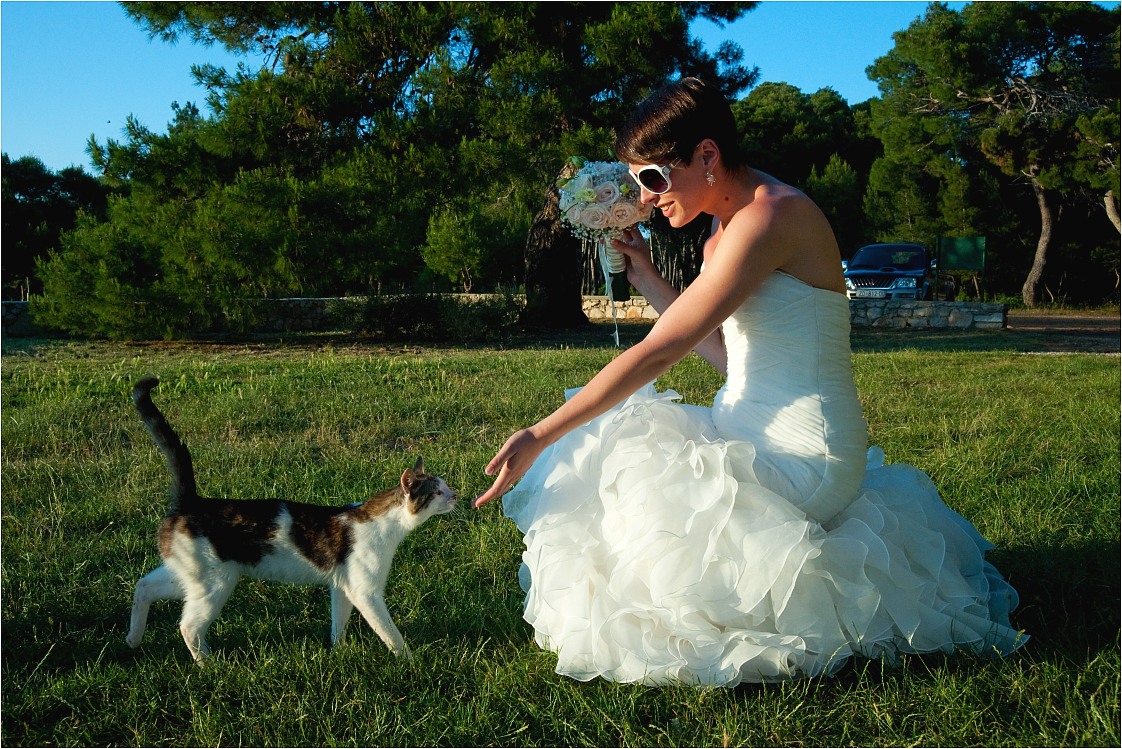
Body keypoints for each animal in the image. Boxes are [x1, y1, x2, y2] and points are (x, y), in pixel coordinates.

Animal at [125, 376, 457, 663]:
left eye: (446, 486)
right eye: (437, 491)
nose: (454, 495)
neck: (385, 524)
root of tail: (191, 500)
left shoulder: (342, 588)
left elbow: (339, 625)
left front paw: (338, 654)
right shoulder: (366, 592)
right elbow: (390, 634)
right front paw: (410, 661)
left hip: (185, 576)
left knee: (143, 587)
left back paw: (133, 639)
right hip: (214, 584)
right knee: (188, 627)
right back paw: (209, 664)